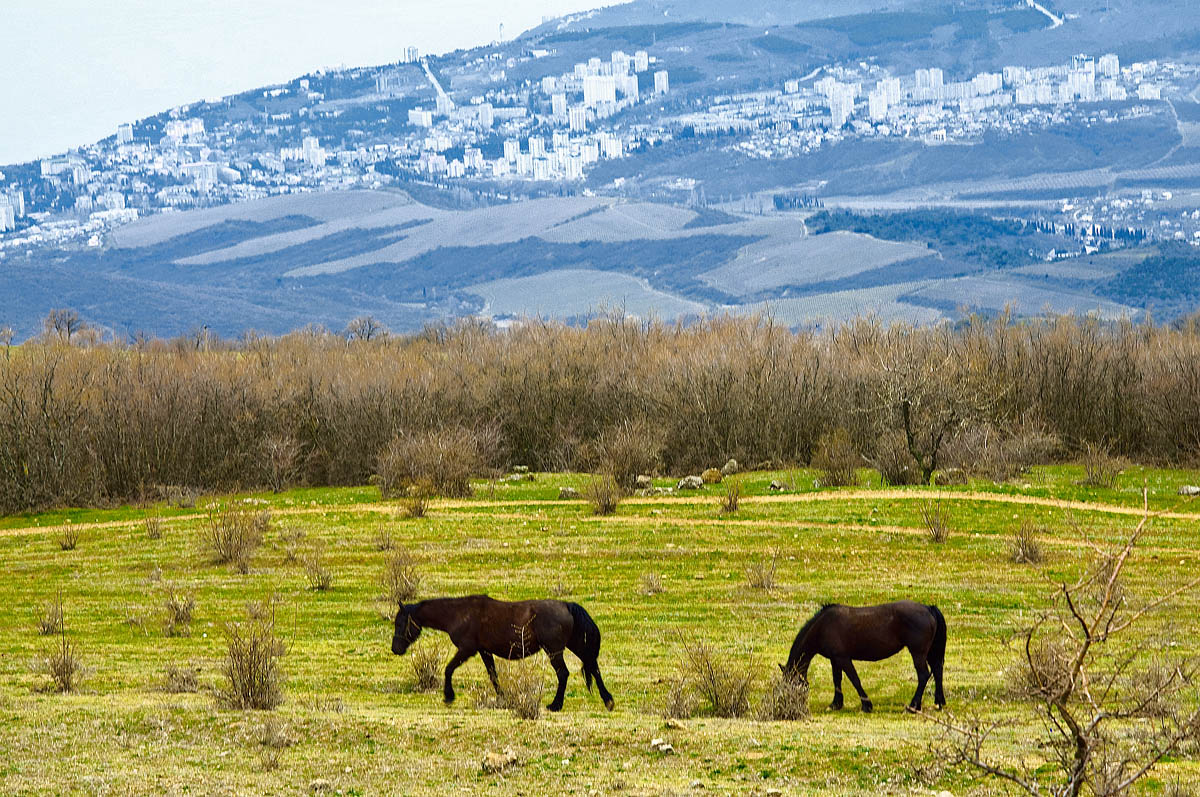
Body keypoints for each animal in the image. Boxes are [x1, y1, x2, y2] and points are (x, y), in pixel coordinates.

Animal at [391, 595, 619, 710]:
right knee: (593, 668)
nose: (395, 649)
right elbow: (493, 676)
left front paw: (449, 696)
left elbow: (448, 669)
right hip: (574, 645)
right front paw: (504, 699)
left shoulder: (467, 650)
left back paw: (555, 705)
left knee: (563, 674)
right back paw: (608, 701)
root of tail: (565, 605)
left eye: (400, 623)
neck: (459, 613)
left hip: (554, 650)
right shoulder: (484, 651)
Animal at [787, 600, 945, 710]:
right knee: (937, 671)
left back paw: (913, 705)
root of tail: (928, 608)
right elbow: (837, 680)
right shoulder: (835, 660)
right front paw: (836, 704)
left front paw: (866, 705)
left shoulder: (843, 658)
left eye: (791, 683)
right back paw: (938, 703)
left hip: (918, 653)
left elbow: (854, 679)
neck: (823, 626)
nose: (792, 703)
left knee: (923, 675)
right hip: (929, 653)